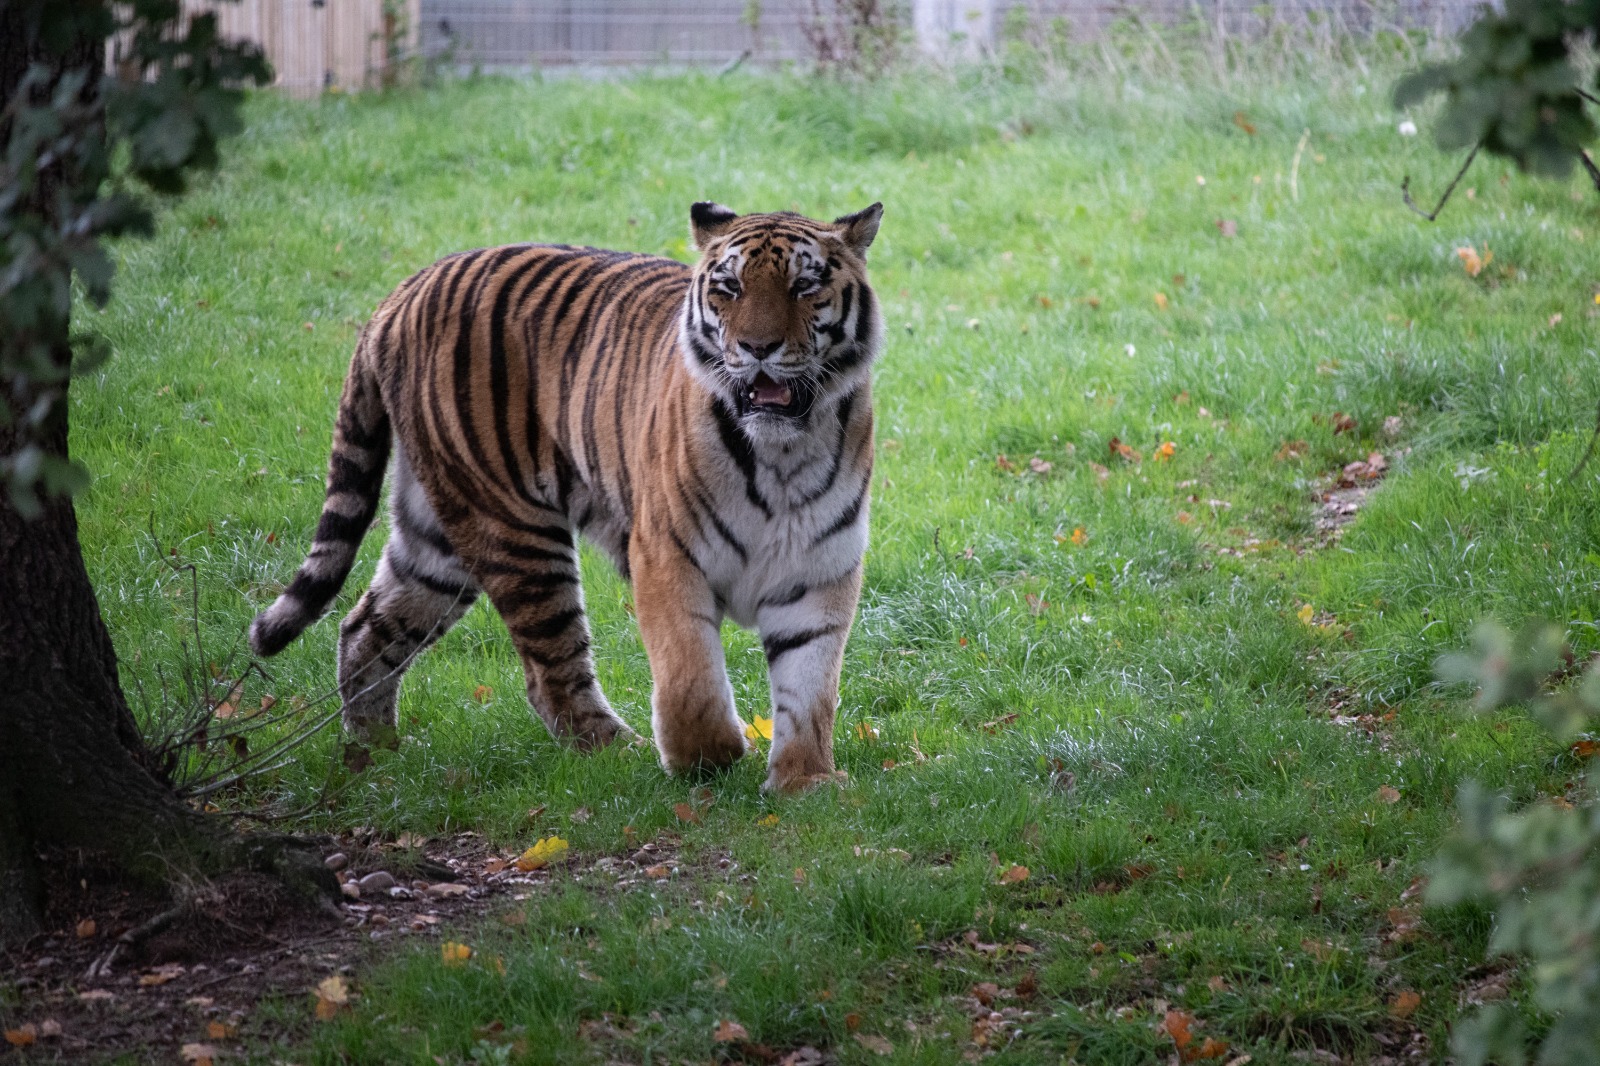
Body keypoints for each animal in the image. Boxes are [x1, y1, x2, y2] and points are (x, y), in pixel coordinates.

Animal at [249, 202, 884, 793]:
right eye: (729, 289)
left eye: (805, 286)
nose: (757, 347)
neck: (782, 454)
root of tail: (409, 287)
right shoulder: (666, 557)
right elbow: (690, 679)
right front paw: (709, 759)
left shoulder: (820, 571)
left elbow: (810, 688)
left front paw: (805, 782)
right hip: (513, 529)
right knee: (549, 672)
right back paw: (619, 753)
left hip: (437, 539)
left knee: (364, 627)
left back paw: (376, 757)